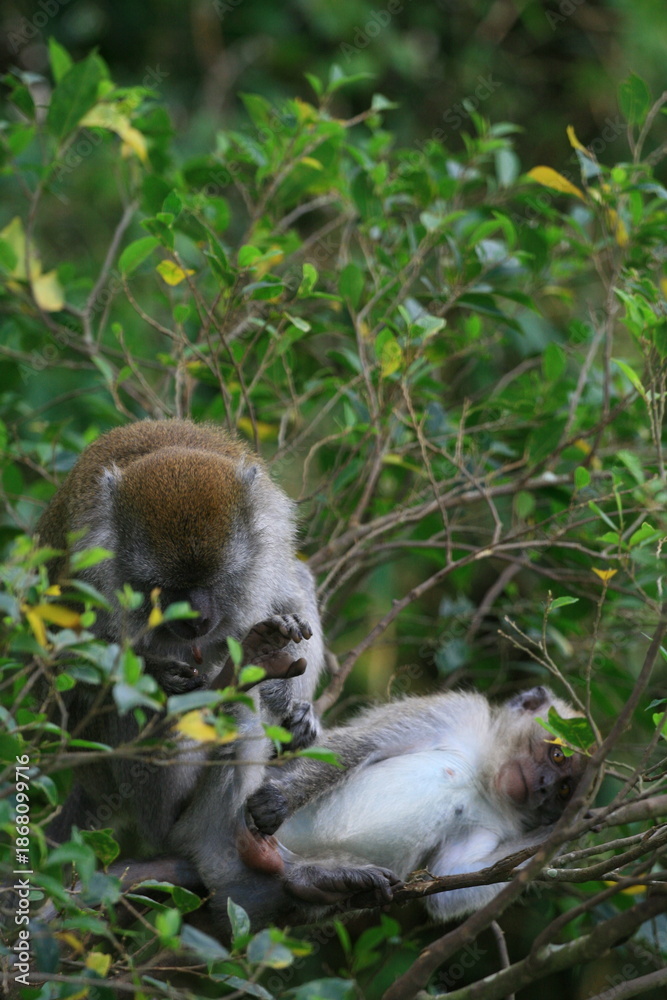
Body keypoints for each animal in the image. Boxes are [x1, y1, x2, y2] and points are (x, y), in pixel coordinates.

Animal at [247, 685, 588, 921]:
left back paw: (319, 880)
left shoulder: (495, 821)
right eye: (557, 755)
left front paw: (573, 822)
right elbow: (359, 745)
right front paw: (281, 800)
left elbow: (456, 877)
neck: (482, 775)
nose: (543, 787)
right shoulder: (453, 711)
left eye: (565, 789)